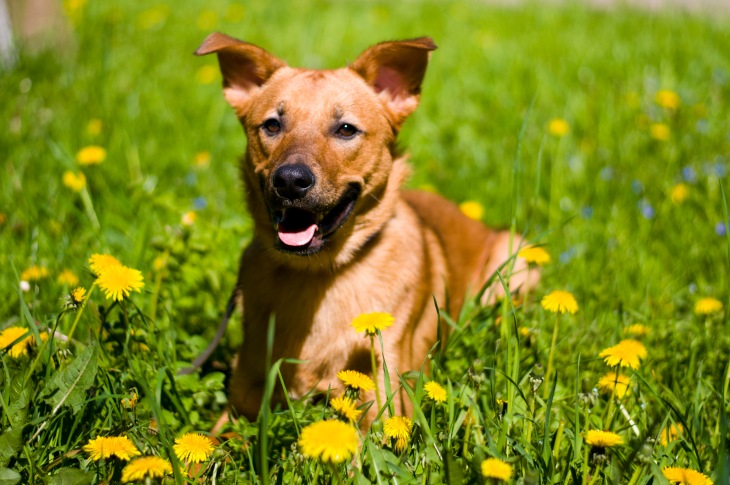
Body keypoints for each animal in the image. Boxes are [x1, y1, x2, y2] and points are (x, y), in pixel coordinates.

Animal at [196, 33, 536, 425]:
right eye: (272, 125)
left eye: (346, 129)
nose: (291, 180)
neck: (314, 277)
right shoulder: (240, 406)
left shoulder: (386, 409)